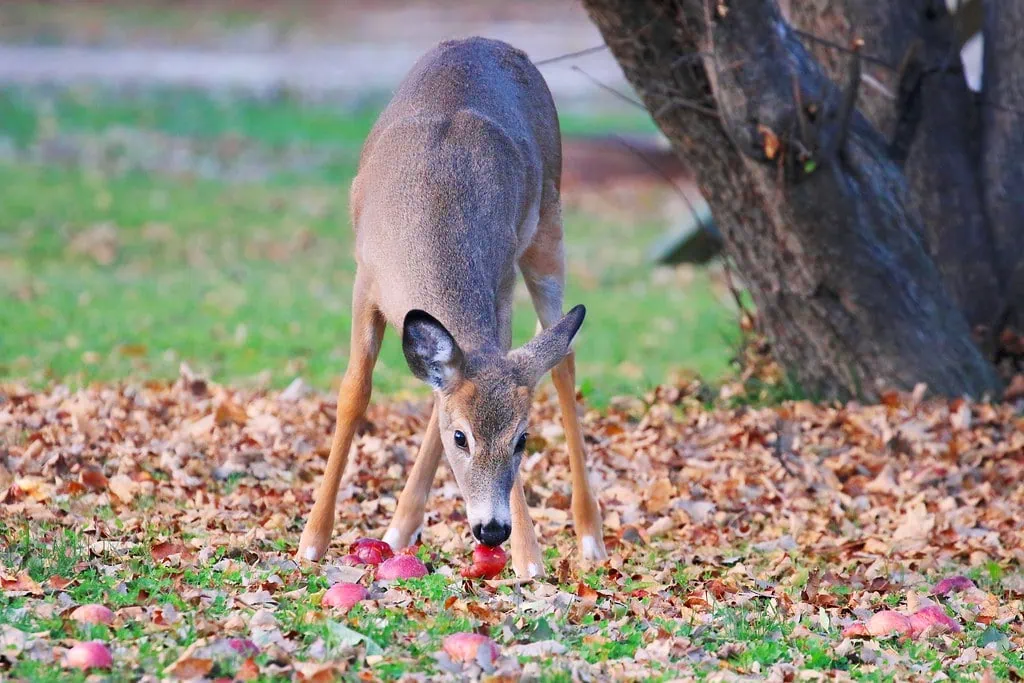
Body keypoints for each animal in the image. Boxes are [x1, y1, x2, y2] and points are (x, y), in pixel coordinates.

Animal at [296, 36, 606, 577]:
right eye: (460, 438)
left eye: (522, 440)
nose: (493, 529)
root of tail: (491, 42)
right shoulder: (365, 278)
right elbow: (355, 391)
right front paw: (312, 541)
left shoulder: (500, 281)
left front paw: (529, 557)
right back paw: (398, 529)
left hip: (549, 226)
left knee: (562, 359)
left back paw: (590, 537)